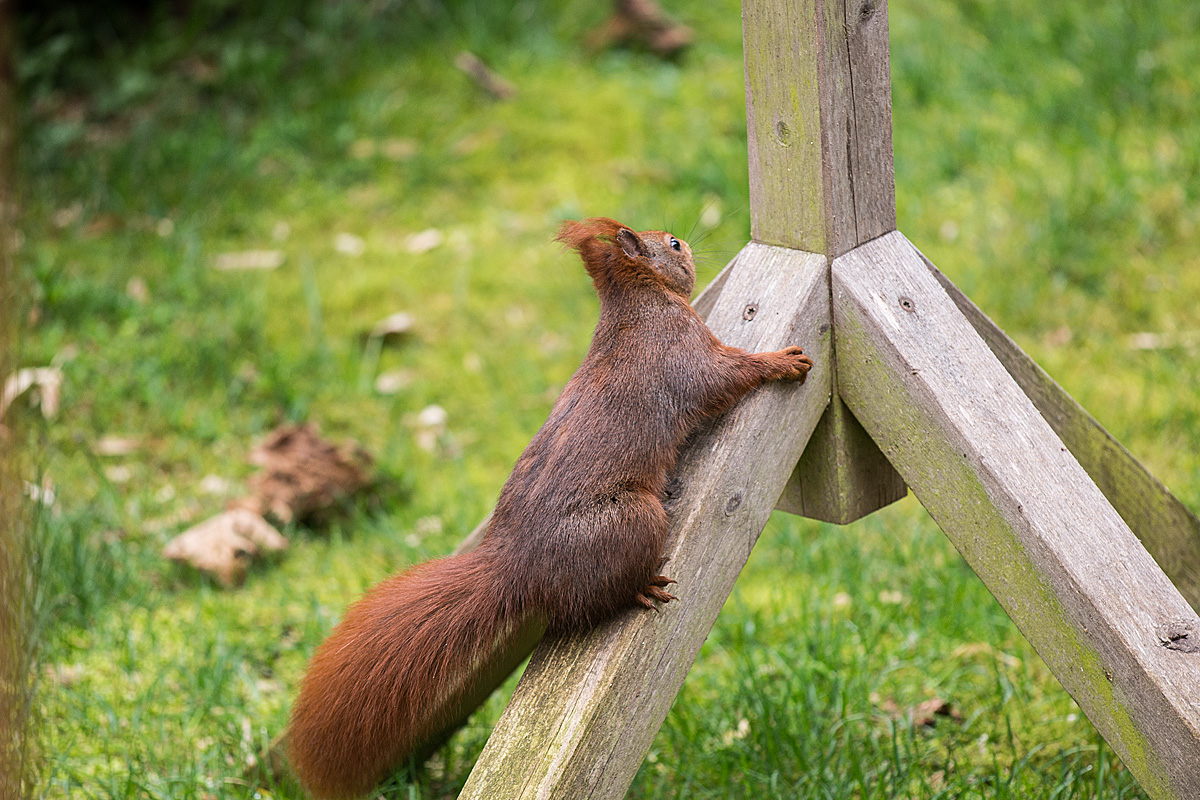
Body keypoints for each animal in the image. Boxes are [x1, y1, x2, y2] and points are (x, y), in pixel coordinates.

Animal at [287, 217, 814, 799]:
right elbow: (726, 375)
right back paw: (640, 589)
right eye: (673, 244)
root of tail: (518, 567)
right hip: (635, 519)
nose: (691, 246)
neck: (639, 304)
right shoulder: (683, 352)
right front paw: (782, 363)